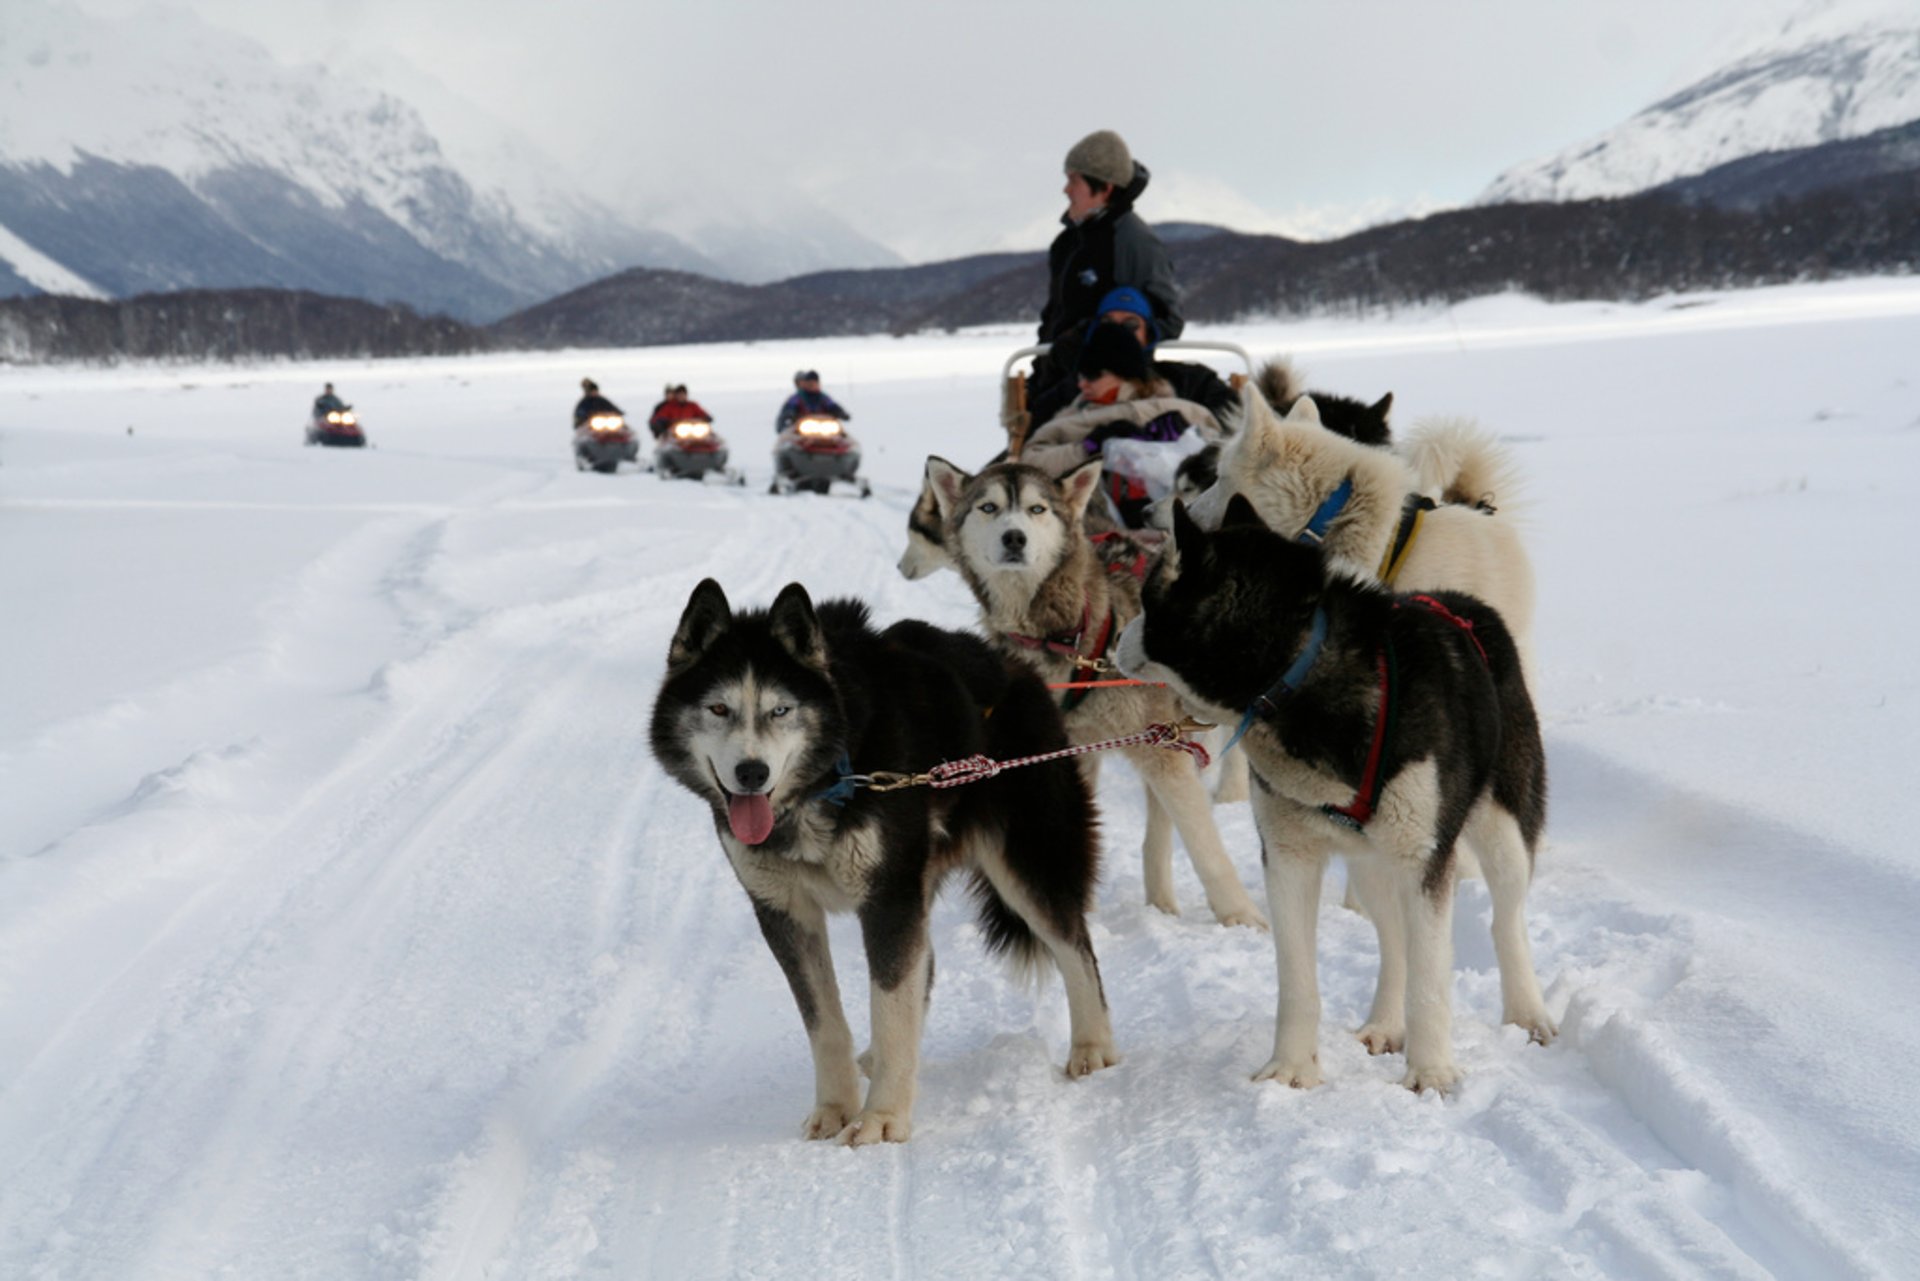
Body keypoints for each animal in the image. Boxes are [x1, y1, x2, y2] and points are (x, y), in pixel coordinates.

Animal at [652, 580, 1121, 1144]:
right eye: (718, 709)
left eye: (781, 711)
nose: (751, 772)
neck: (830, 775)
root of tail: (1017, 668)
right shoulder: (786, 913)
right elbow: (826, 1023)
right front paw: (835, 1108)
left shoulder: (888, 898)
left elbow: (890, 1005)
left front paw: (882, 1117)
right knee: (927, 964)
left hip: (1026, 862)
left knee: (1076, 948)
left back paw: (1093, 1047)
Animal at [1121, 499, 1551, 1090]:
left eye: (1146, 599)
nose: (1116, 637)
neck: (1300, 675)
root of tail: (1465, 603)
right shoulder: (1289, 857)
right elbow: (1298, 982)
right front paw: (1291, 1069)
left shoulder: (1424, 859)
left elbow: (1430, 981)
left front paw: (1432, 1074)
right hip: (1371, 867)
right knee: (1394, 940)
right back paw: (1385, 1024)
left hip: (1502, 830)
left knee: (1505, 919)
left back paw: (1526, 1012)